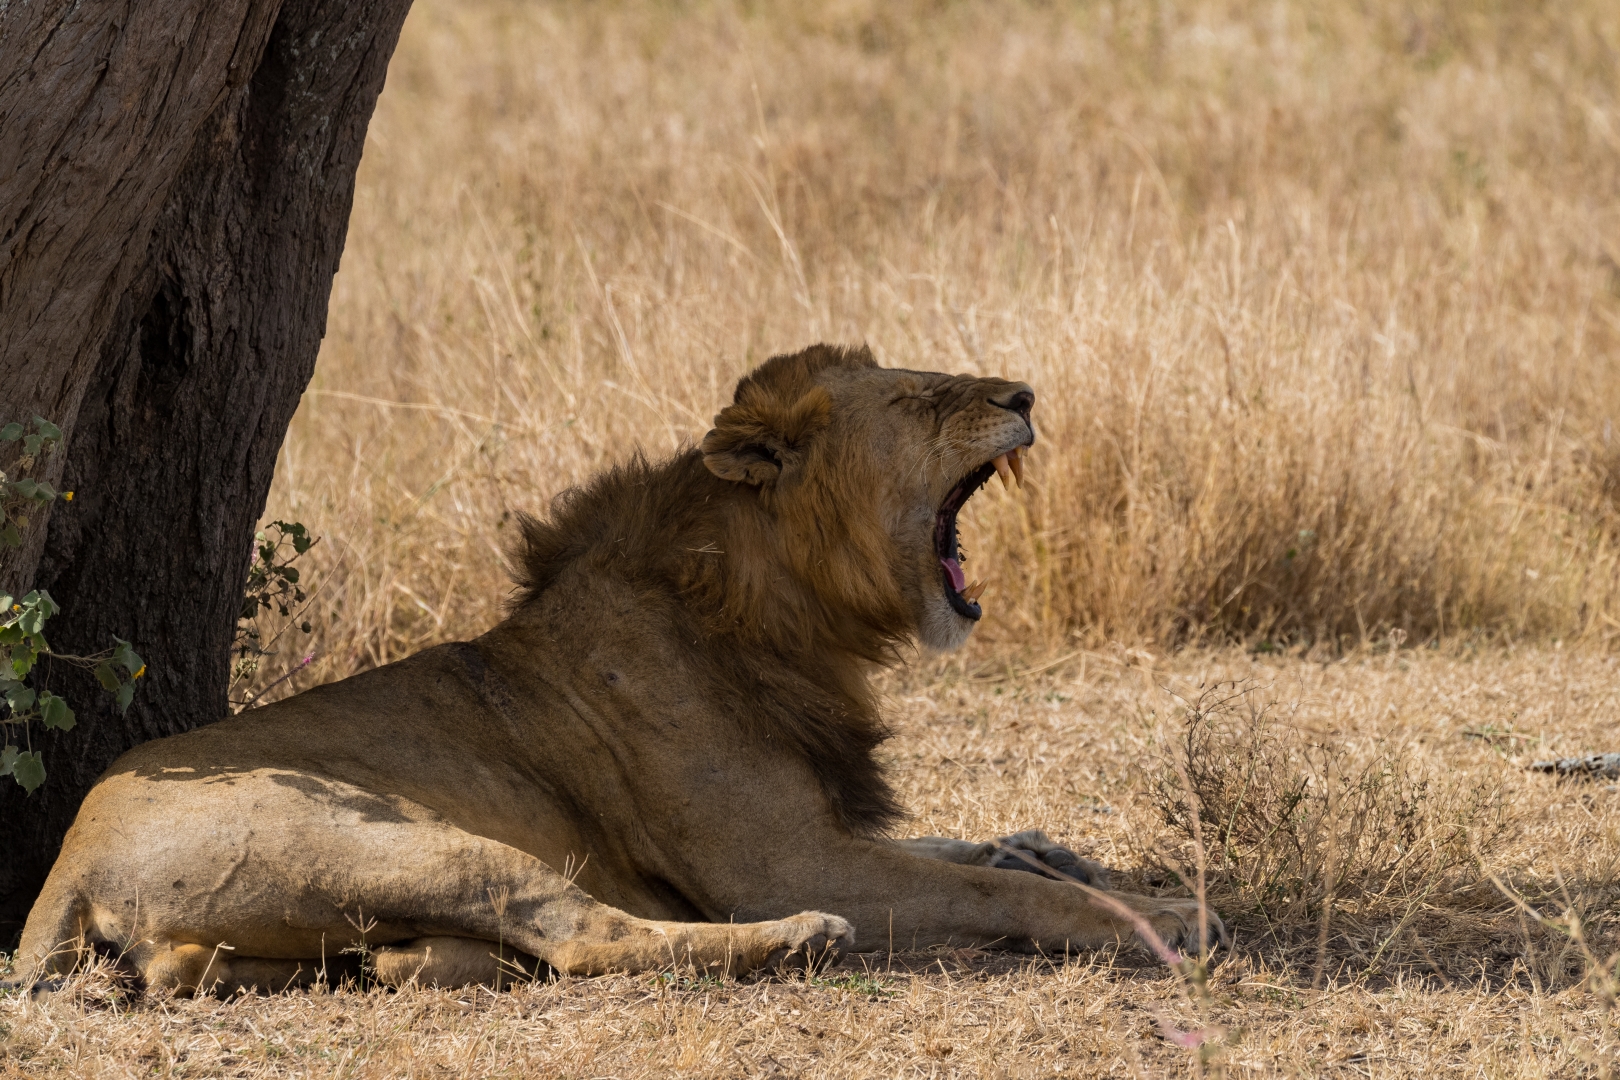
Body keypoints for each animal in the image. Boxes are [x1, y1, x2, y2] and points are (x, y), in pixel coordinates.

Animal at [9, 346, 1224, 997]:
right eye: (923, 397)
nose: (1023, 395)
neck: (779, 615)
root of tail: (70, 854)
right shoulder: (779, 862)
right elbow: (992, 888)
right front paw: (1161, 914)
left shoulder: (828, 828)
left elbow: (982, 849)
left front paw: (1069, 852)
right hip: (400, 839)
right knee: (585, 932)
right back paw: (798, 943)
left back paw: (417, 963)